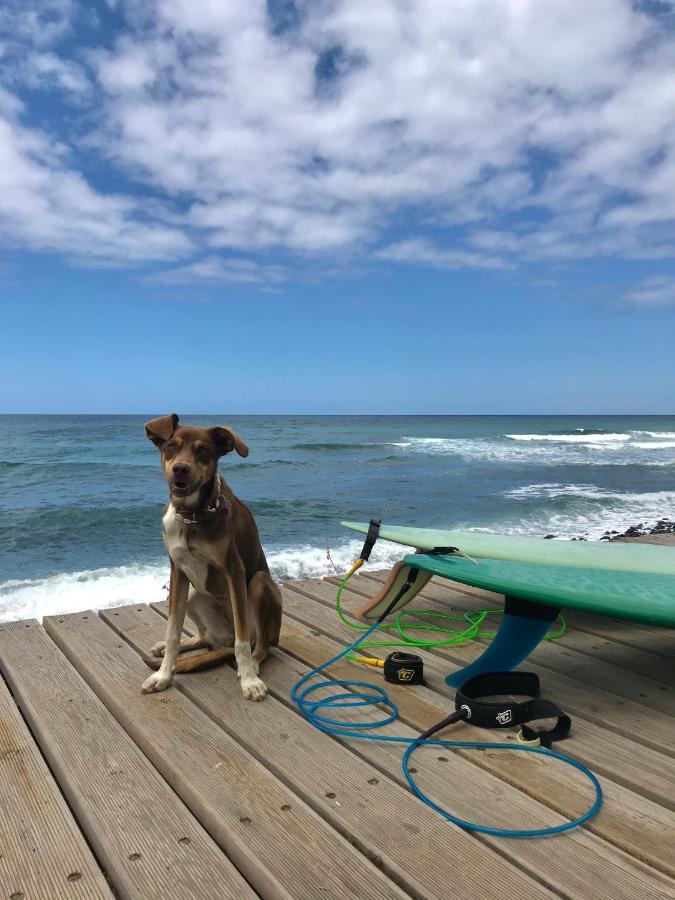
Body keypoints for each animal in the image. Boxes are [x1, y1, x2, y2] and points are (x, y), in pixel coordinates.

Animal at [141, 414, 282, 704]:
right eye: (171, 446)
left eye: (204, 451)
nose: (180, 469)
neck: (192, 515)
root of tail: (223, 638)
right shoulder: (177, 571)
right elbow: (173, 631)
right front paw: (163, 674)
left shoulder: (234, 570)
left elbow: (242, 641)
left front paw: (249, 680)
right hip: (194, 593)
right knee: (206, 638)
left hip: (259, 583)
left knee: (257, 643)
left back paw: (252, 665)